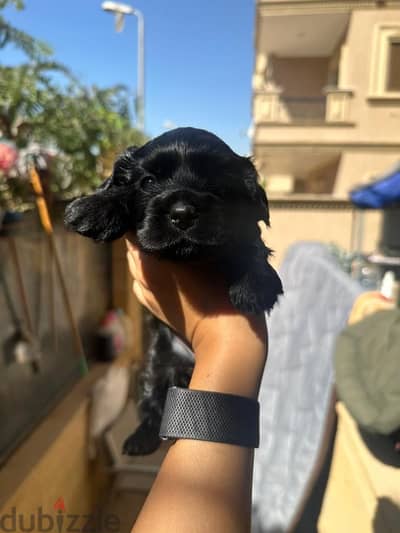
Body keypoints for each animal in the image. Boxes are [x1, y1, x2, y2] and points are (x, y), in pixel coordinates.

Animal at [65, 128, 282, 454]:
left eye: (216, 182)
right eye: (148, 182)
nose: (182, 213)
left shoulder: (240, 226)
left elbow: (252, 241)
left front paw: (255, 284)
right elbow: (118, 190)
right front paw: (93, 208)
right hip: (155, 368)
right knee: (153, 404)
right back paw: (140, 439)